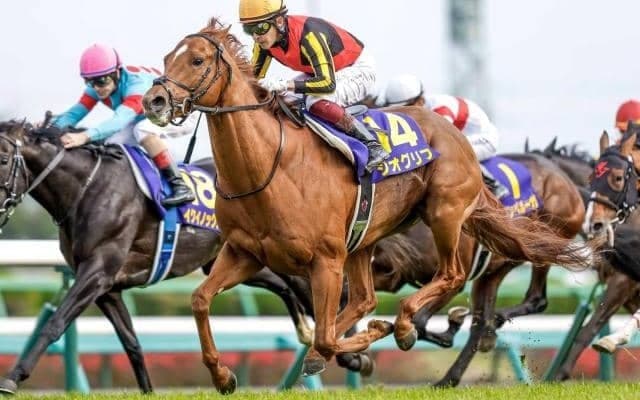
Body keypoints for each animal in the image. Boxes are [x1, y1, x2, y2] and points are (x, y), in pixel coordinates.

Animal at [0, 120, 318, 395]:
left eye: (3, 159)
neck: (87, 189)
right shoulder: (106, 287)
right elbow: (131, 343)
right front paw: (148, 391)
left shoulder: (97, 272)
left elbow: (55, 324)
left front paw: (13, 378)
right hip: (227, 261)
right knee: (283, 285)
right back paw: (306, 332)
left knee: (301, 284)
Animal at [141, 19, 596, 393]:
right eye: (166, 58)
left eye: (197, 59)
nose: (155, 101)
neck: (268, 168)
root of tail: (453, 134)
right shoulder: (245, 253)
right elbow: (201, 300)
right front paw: (223, 376)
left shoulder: (326, 260)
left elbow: (326, 332)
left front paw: (371, 342)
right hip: (365, 240)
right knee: (367, 301)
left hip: (444, 214)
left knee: (448, 276)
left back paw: (406, 326)